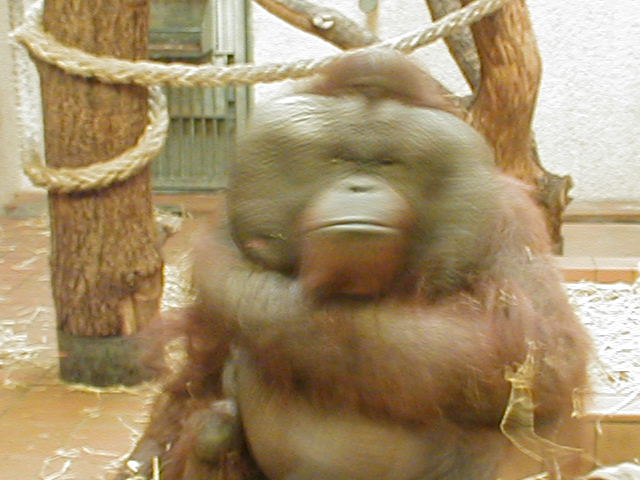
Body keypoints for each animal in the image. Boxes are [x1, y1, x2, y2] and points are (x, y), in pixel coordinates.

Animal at [118, 48, 592, 480]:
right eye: (336, 160)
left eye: (389, 163)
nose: (359, 186)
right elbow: (194, 383)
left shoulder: (511, 224)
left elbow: (538, 362)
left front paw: (238, 284)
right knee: (214, 428)